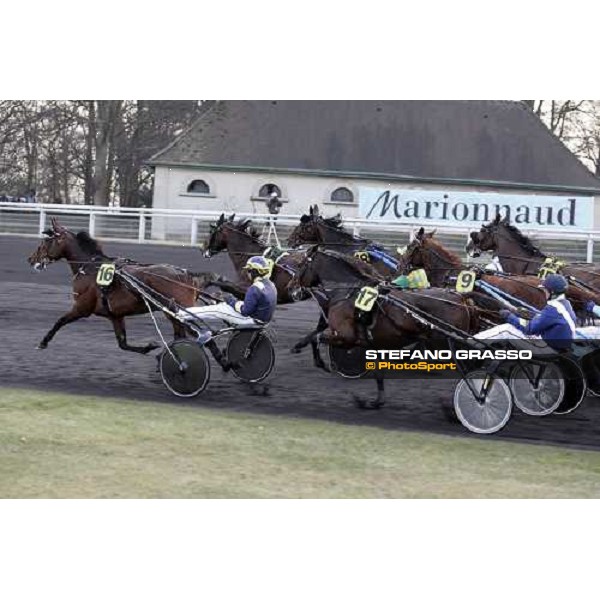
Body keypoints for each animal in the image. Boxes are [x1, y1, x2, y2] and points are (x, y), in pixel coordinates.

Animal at [28, 218, 217, 354]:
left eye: (45, 242)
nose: (30, 259)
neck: (89, 268)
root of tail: (187, 275)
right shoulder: (115, 316)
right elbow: (123, 343)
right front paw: (149, 347)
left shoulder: (82, 308)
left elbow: (60, 321)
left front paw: (43, 342)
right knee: (186, 336)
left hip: (177, 311)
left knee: (202, 336)